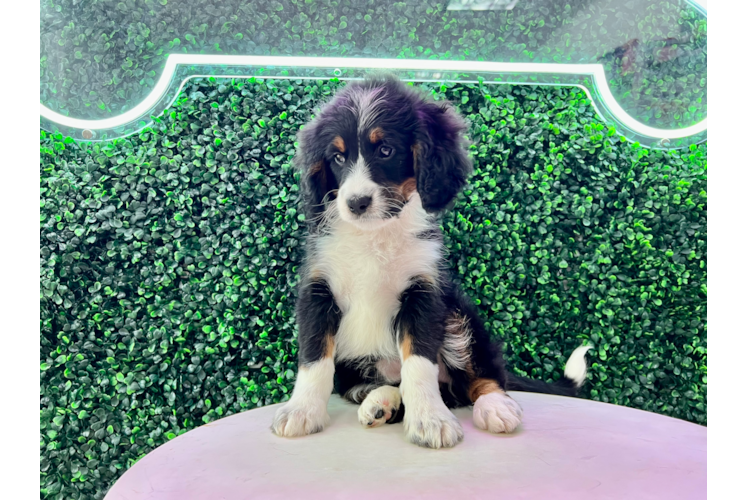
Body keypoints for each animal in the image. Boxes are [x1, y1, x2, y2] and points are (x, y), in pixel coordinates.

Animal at [270, 75, 592, 450]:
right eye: (337, 157)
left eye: (385, 150)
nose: (356, 203)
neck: (374, 236)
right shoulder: (319, 290)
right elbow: (314, 359)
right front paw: (301, 411)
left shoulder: (424, 293)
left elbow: (420, 364)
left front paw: (430, 420)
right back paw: (379, 402)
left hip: (458, 316)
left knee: (480, 375)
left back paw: (495, 405)